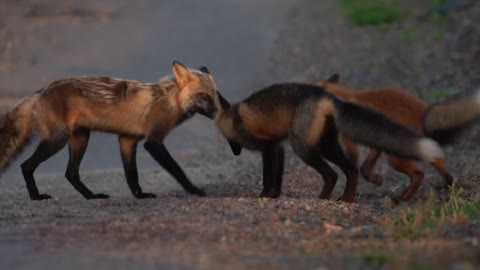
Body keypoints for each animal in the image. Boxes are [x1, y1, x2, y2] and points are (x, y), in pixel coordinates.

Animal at [0, 61, 221, 200]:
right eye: (203, 96)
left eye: (215, 95)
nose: (219, 112)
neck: (169, 101)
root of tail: (39, 93)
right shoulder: (153, 141)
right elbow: (177, 170)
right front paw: (193, 190)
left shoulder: (127, 139)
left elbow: (132, 174)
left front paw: (139, 195)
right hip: (58, 140)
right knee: (26, 166)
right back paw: (36, 197)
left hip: (80, 139)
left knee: (71, 173)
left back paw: (91, 196)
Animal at [316, 74, 456, 202]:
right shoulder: (377, 143)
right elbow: (365, 168)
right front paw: (376, 180)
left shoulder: (349, 140)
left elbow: (355, 165)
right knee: (440, 164)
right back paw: (448, 185)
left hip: (394, 157)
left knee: (419, 174)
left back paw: (401, 200)